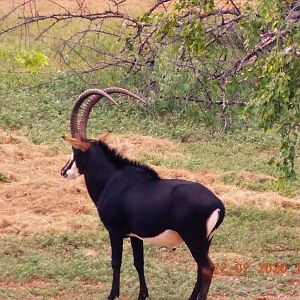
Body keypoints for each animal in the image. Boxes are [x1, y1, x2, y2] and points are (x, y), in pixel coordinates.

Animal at [61, 87, 225, 300]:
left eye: (75, 151)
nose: (63, 171)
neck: (112, 178)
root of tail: (218, 206)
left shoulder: (114, 231)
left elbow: (116, 262)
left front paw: (112, 295)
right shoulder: (135, 235)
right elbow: (139, 263)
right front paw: (142, 295)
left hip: (194, 239)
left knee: (207, 268)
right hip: (205, 241)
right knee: (200, 268)